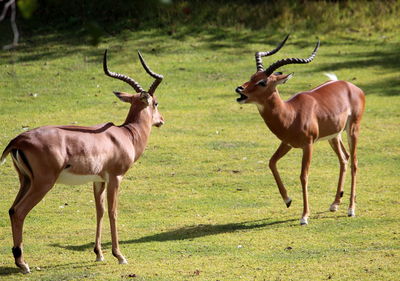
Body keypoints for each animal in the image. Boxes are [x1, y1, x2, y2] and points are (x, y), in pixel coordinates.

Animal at [0, 48, 164, 272]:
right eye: (155, 103)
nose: (161, 120)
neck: (127, 135)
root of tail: (18, 139)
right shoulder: (115, 178)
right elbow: (113, 211)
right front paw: (119, 255)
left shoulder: (98, 180)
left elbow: (99, 211)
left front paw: (99, 254)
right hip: (43, 183)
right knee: (18, 212)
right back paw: (23, 264)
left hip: (25, 180)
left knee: (11, 210)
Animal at [234, 35, 366, 225]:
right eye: (252, 76)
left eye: (262, 81)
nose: (239, 89)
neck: (291, 113)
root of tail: (351, 86)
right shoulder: (287, 143)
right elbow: (271, 162)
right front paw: (288, 200)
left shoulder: (308, 145)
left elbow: (304, 176)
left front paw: (304, 216)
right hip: (334, 136)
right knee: (344, 158)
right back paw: (334, 204)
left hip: (353, 129)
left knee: (354, 162)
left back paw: (351, 209)